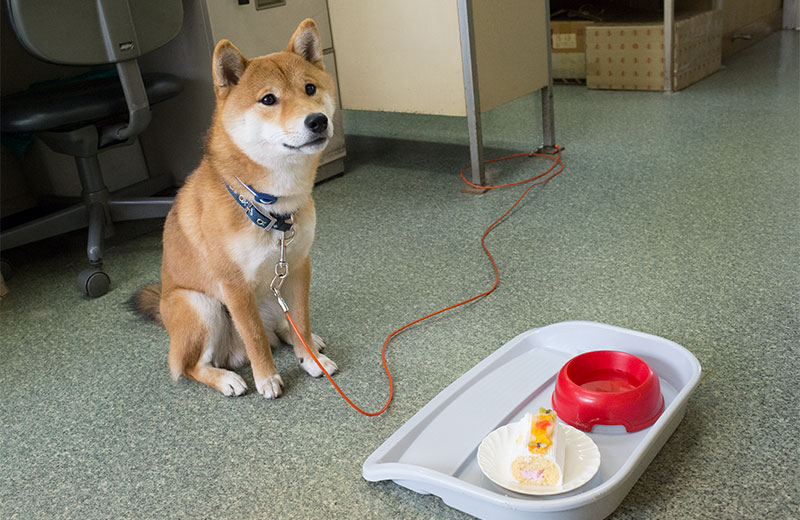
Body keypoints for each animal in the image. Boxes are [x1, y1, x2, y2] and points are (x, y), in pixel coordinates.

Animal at [134, 18, 338, 396]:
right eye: (268, 99)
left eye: (310, 88)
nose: (317, 120)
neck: (270, 209)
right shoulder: (234, 286)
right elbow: (255, 337)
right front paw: (267, 378)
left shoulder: (299, 266)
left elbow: (301, 319)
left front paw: (310, 359)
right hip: (203, 306)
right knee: (191, 365)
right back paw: (227, 378)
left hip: (273, 292)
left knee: (284, 327)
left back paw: (304, 341)